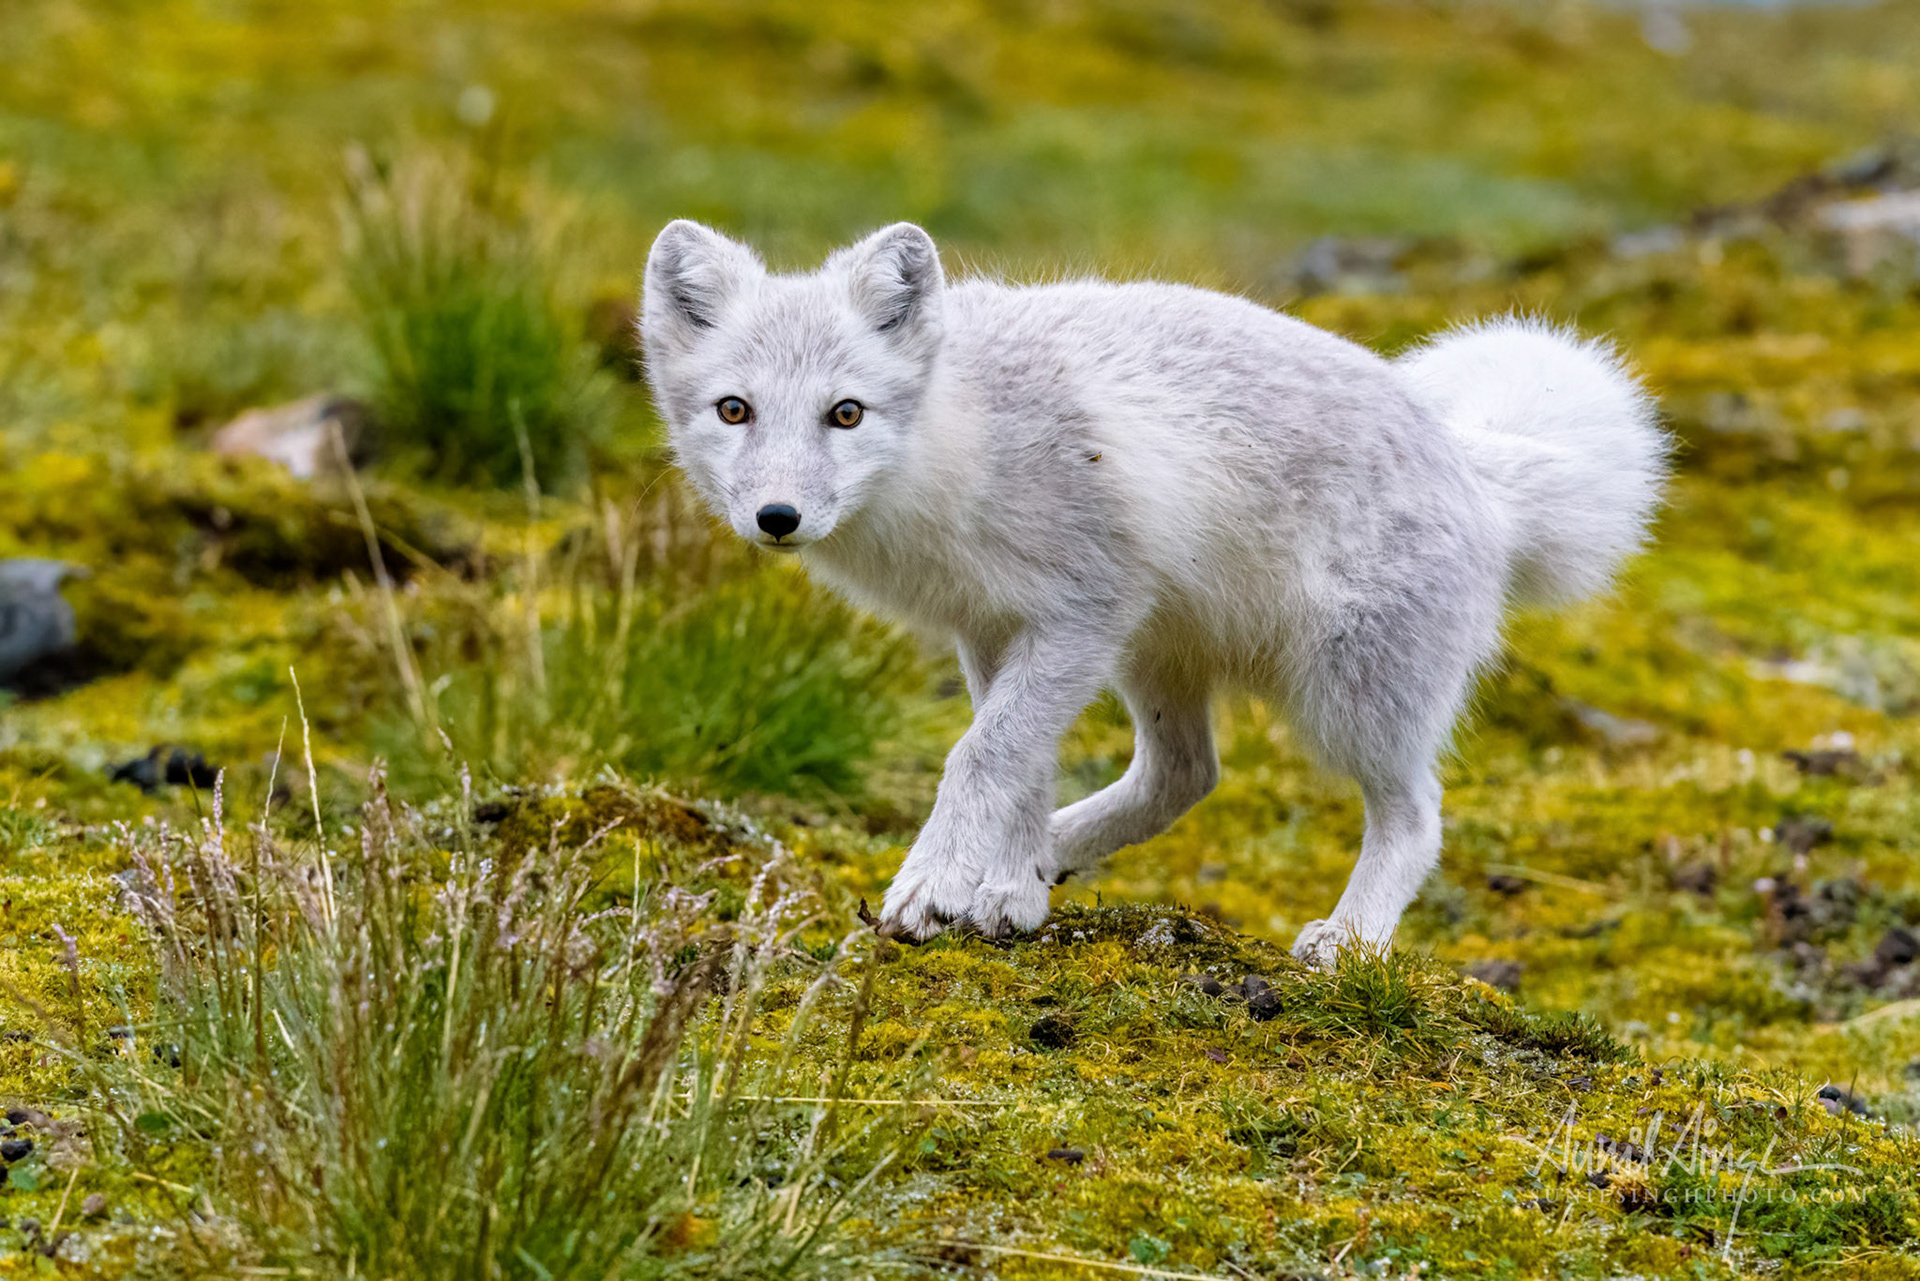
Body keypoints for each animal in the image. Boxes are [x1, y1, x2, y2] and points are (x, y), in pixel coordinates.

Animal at [640, 220, 1667, 964]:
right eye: (735, 410)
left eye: (845, 412)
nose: (776, 516)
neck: (959, 445)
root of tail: (1470, 462)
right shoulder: (997, 628)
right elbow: (1020, 761)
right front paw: (1005, 890)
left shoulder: (1084, 607)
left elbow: (980, 755)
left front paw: (933, 886)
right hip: (1160, 654)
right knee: (1186, 775)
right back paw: (1053, 856)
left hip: (1347, 691)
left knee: (1416, 817)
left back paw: (1348, 940)